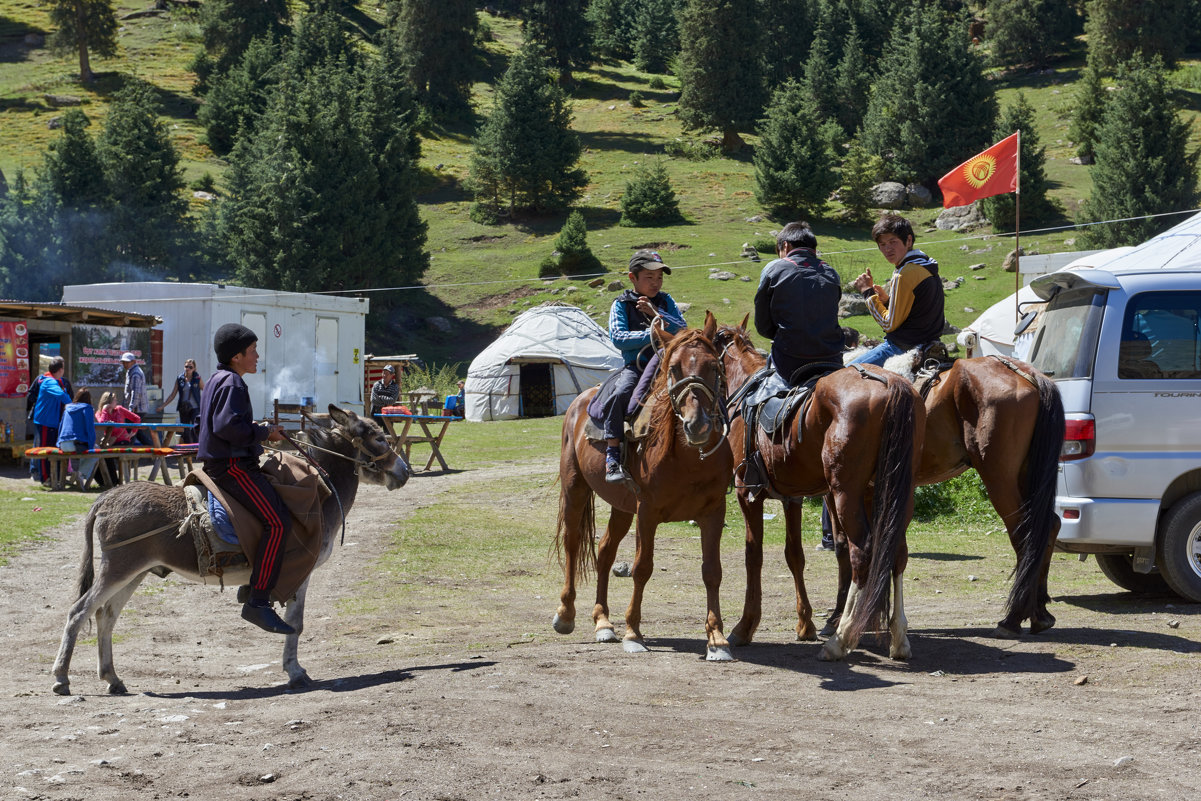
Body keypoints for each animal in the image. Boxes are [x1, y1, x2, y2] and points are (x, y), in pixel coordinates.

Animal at [550, 312, 735, 658]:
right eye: (674, 368)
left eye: (714, 367)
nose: (698, 425)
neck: (688, 460)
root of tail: (579, 402)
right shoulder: (647, 512)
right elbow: (642, 568)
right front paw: (633, 633)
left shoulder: (714, 512)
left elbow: (712, 571)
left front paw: (717, 639)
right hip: (575, 489)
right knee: (572, 543)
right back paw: (566, 614)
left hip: (622, 506)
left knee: (604, 551)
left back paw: (603, 623)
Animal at [710, 321, 927, 662]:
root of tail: (891, 383)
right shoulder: (793, 497)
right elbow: (794, 555)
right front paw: (806, 624)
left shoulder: (748, 493)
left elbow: (753, 556)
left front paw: (745, 627)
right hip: (895, 493)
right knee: (896, 553)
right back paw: (898, 637)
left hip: (846, 493)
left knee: (862, 552)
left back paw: (841, 637)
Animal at [821, 357, 1066, 638]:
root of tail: (1025, 373)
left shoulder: (839, 493)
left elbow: (845, 547)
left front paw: (838, 618)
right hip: (1026, 476)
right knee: (1048, 526)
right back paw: (1040, 613)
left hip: (1000, 479)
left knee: (1025, 533)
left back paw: (1013, 618)